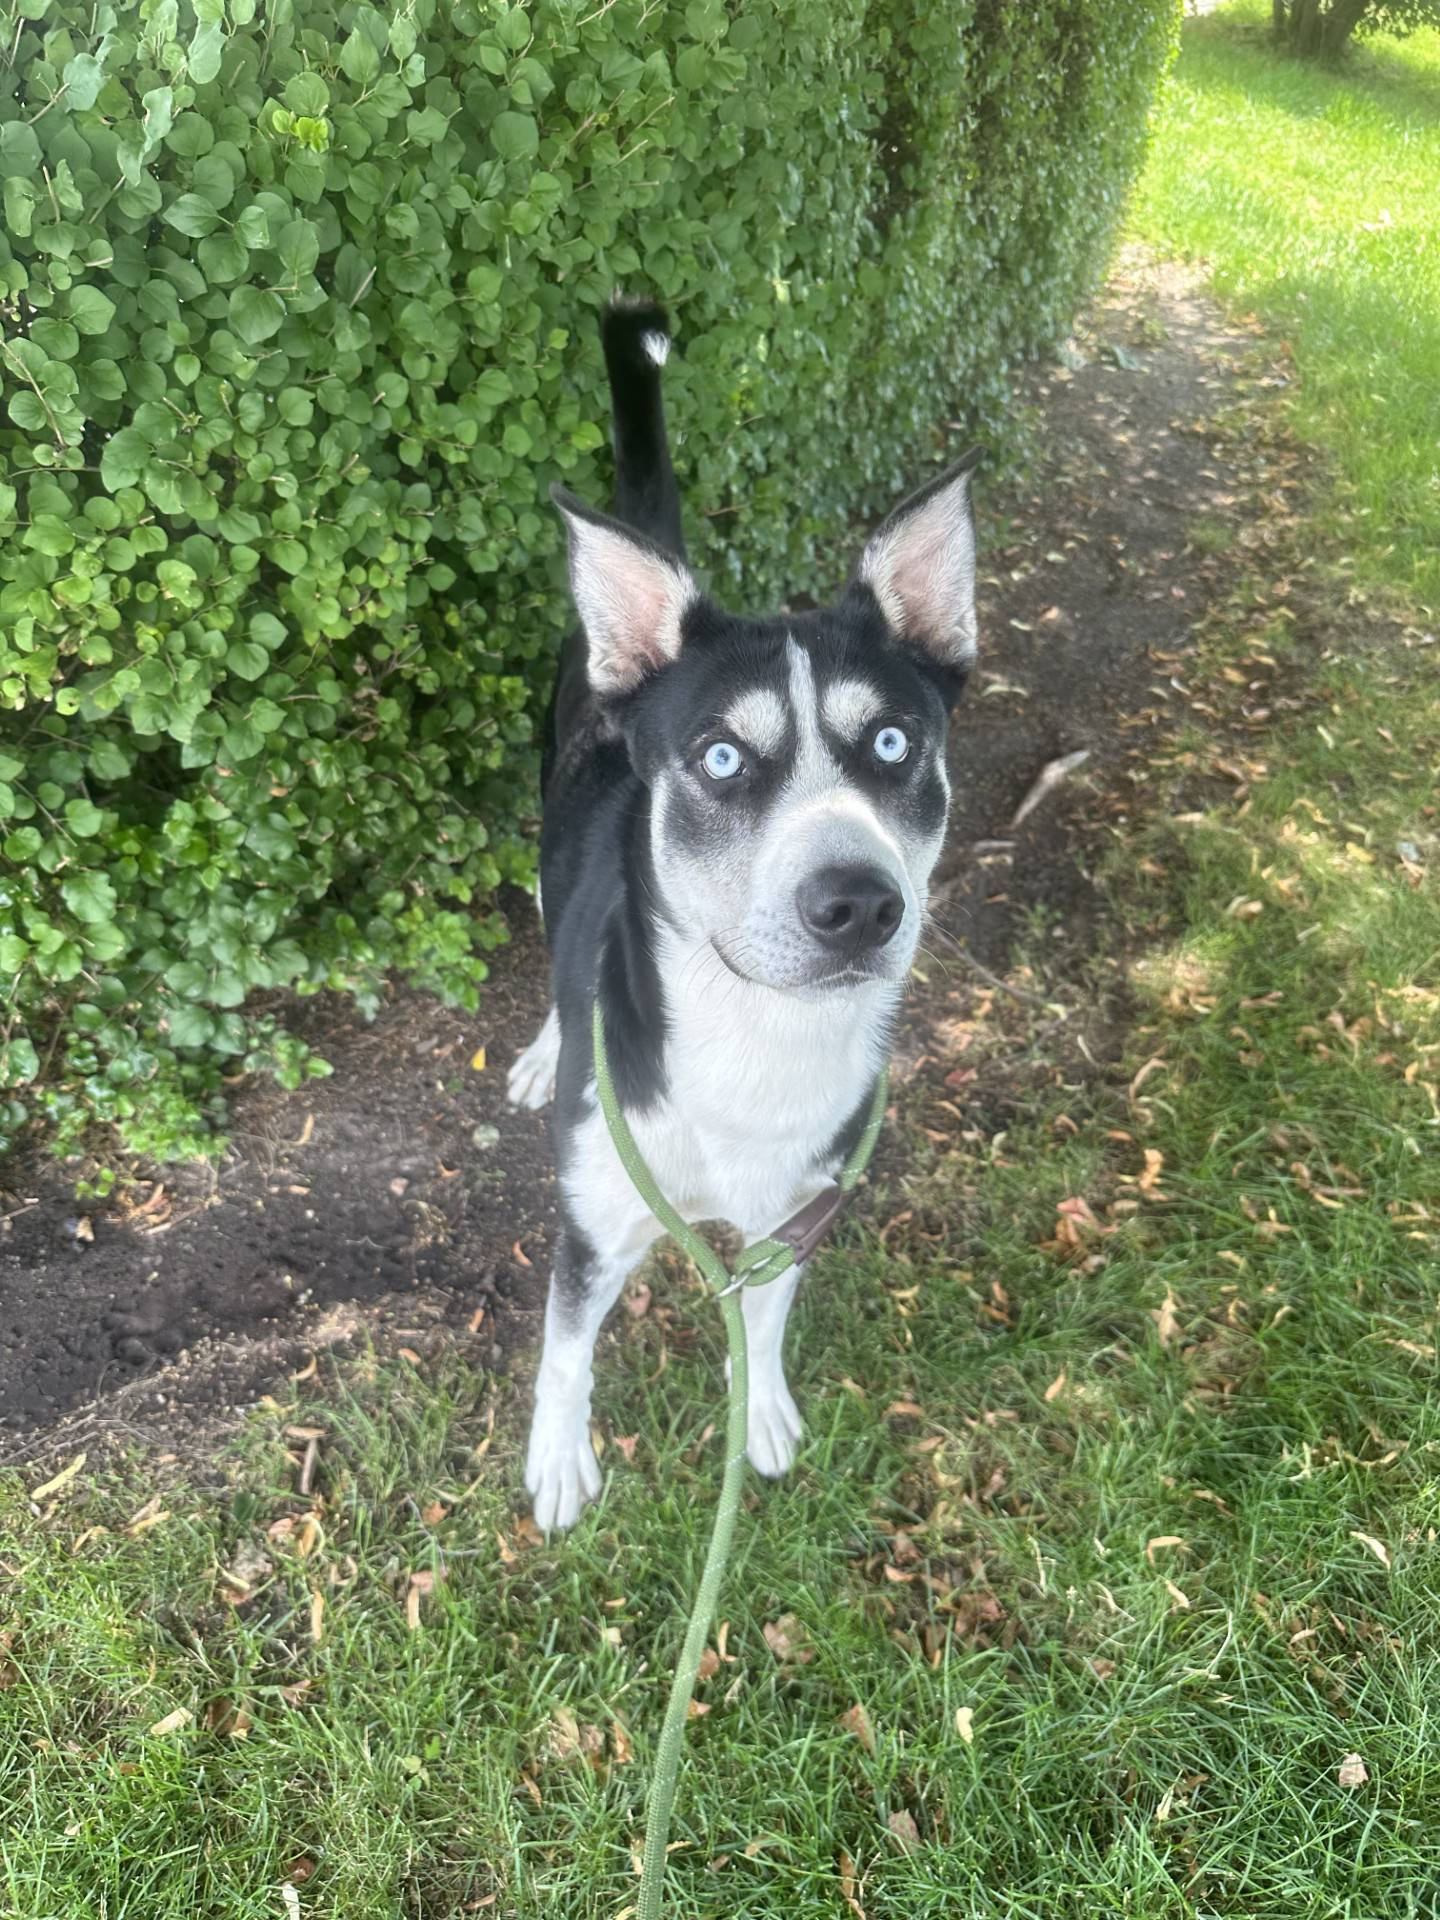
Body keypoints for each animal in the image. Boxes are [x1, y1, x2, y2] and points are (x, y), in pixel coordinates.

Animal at [506, 299, 983, 1528]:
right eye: (722, 757)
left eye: (894, 743)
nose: (858, 904)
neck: (760, 1033)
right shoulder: (596, 1218)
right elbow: (564, 1351)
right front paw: (559, 1459)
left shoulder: (796, 1216)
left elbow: (760, 1323)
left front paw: (758, 1409)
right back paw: (541, 1047)